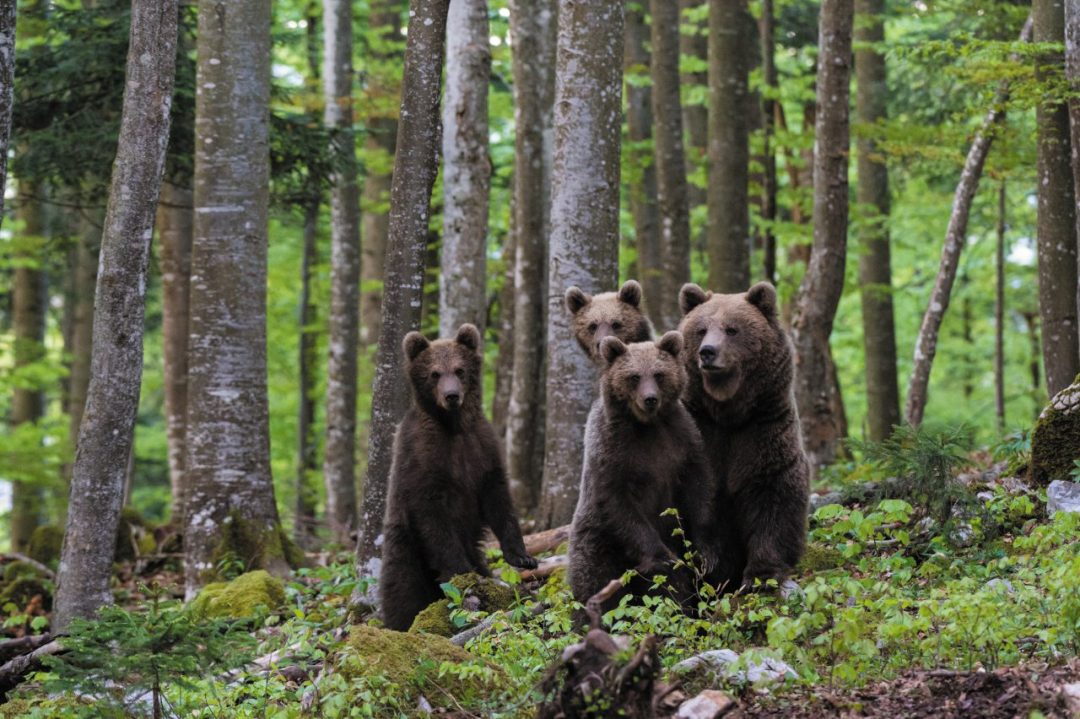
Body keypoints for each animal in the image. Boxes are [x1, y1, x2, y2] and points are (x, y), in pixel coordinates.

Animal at [378, 323, 537, 626]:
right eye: (434, 373)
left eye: (460, 369)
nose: (452, 395)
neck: (453, 427)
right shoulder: (422, 456)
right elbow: (434, 518)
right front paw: (461, 570)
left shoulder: (482, 448)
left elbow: (498, 499)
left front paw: (522, 557)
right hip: (404, 546)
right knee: (402, 587)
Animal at [678, 282, 807, 591]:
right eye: (701, 329)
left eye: (732, 329)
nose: (707, 352)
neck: (728, 413)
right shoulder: (700, 432)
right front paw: (712, 568)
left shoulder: (763, 431)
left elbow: (773, 498)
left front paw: (762, 574)